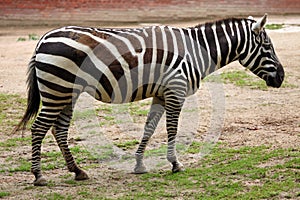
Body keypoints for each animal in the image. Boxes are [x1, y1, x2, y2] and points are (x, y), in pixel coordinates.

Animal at [13, 14, 284, 186]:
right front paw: (175, 163)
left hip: (67, 92)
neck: (197, 50)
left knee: (58, 129)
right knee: (39, 128)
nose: (281, 77)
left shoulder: (161, 94)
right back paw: (38, 176)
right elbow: (172, 129)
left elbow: (149, 128)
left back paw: (77, 171)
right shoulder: (176, 89)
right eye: (268, 47)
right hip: (57, 89)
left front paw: (139, 164)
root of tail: (43, 38)